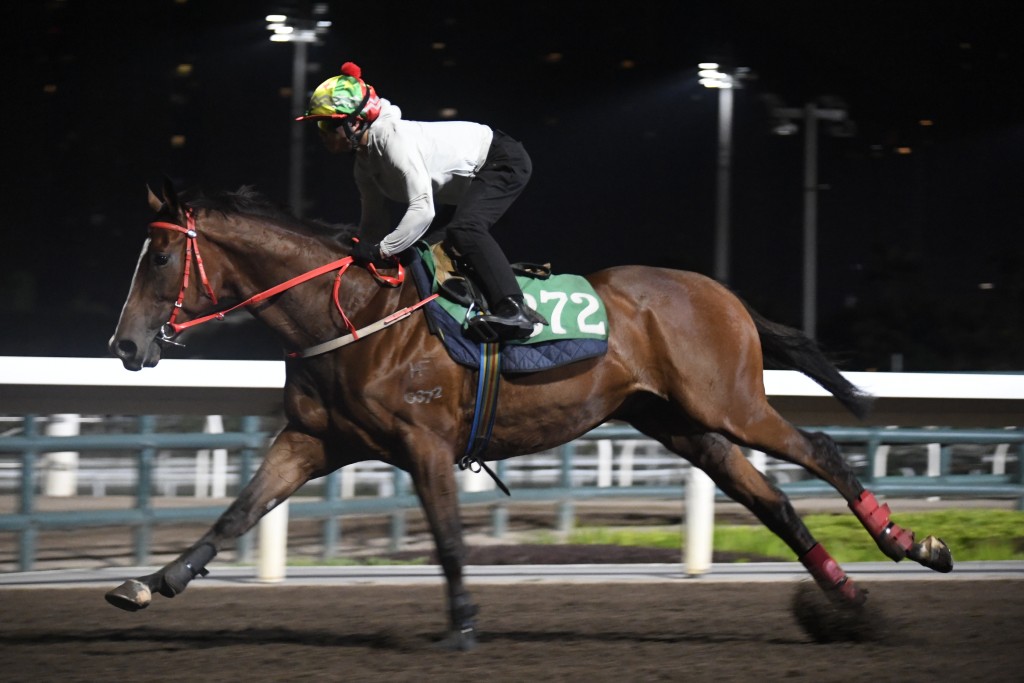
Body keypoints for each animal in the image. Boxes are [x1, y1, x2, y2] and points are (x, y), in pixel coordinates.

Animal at [103, 179, 950, 651]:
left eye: (160, 257)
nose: (125, 344)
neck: (353, 312)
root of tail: (722, 292)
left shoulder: (424, 444)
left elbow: (448, 540)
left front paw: (463, 626)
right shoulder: (313, 439)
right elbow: (236, 513)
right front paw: (150, 582)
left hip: (729, 401)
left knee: (823, 450)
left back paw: (917, 545)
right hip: (679, 422)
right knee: (773, 501)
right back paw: (846, 597)